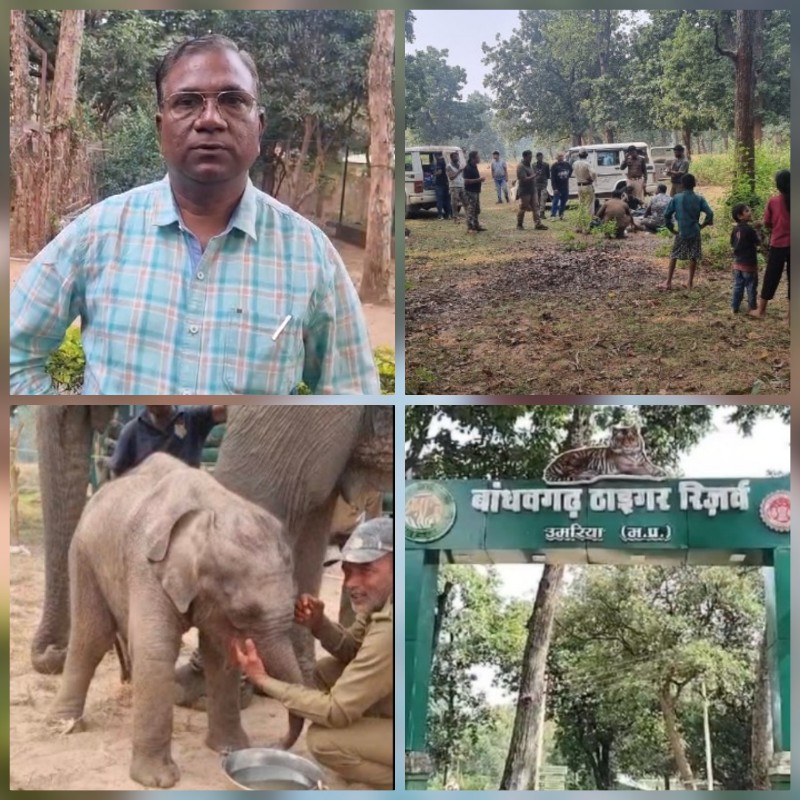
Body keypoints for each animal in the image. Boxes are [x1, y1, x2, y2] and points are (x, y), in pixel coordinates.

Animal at [50, 454, 304, 792]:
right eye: (245, 613)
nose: (275, 744)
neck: (211, 510)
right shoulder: (146, 565)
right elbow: (156, 649)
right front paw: (159, 781)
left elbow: (219, 653)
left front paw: (232, 748)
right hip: (83, 552)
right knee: (91, 637)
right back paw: (63, 725)